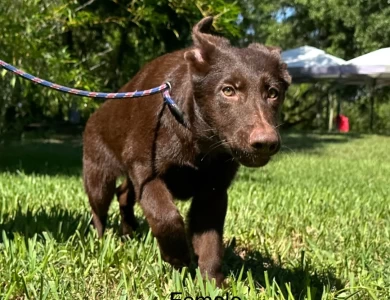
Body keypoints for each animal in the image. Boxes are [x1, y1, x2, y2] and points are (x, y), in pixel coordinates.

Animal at [83, 16, 290, 286]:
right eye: (228, 90)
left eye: (273, 93)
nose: (266, 142)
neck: (199, 141)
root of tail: (94, 115)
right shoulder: (147, 173)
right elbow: (166, 216)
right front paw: (178, 256)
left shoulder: (213, 192)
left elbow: (211, 241)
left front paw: (213, 282)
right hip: (98, 175)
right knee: (99, 208)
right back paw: (100, 241)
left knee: (124, 193)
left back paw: (129, 232)